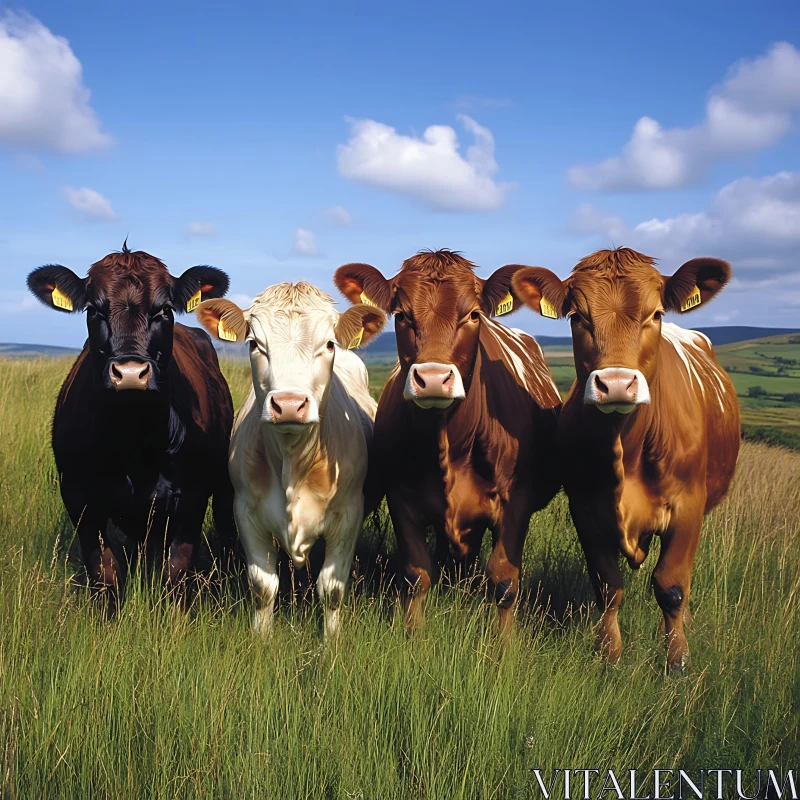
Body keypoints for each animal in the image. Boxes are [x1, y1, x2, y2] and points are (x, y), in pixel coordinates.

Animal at [192, 282, 382, 636]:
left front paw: (331, 643)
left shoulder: (349, 515)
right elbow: (262, 587)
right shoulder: (246, 512)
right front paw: (261, 641)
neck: (293, 463)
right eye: (254, 343)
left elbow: (332, 589)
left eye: (329, 343)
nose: (290, 404)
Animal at [334, 247, 560, 636]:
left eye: (473, 314)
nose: (433, 378)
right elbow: (415, 575)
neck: (450, 443)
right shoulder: (402, 499)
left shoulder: (515, 505)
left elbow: (504, 582)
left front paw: (505, 646)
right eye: (401, 315)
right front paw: (414, 636)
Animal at [516, 245, 740, 668]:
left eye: (656, 314)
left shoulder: (688, 506)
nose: (617, 384)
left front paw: (677, 659)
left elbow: (671, 585)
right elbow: (608, 585)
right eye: (578, 316)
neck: (628, 449)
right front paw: (609, 654)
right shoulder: (585, 507)